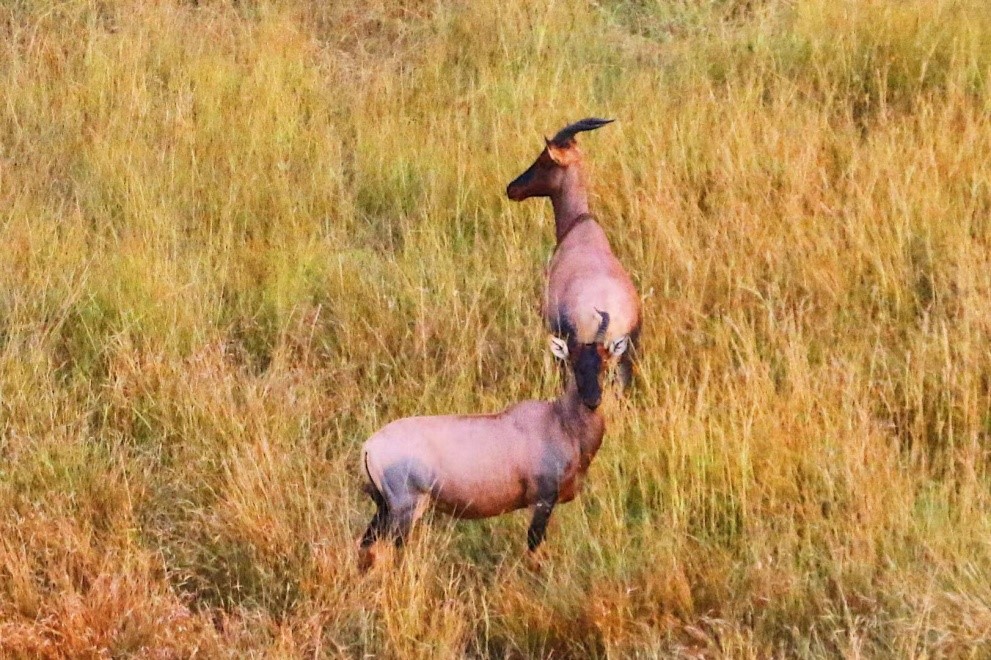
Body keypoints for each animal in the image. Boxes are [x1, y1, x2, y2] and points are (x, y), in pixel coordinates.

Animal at [356, 318, 628, 568]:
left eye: (604, 360)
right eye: (572, 361)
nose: (592, 400)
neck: (558, 419)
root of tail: (369, 446)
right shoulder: (542, 500)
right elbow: (534, 544)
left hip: (384, 507)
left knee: (367, 543)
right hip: (406, 509)